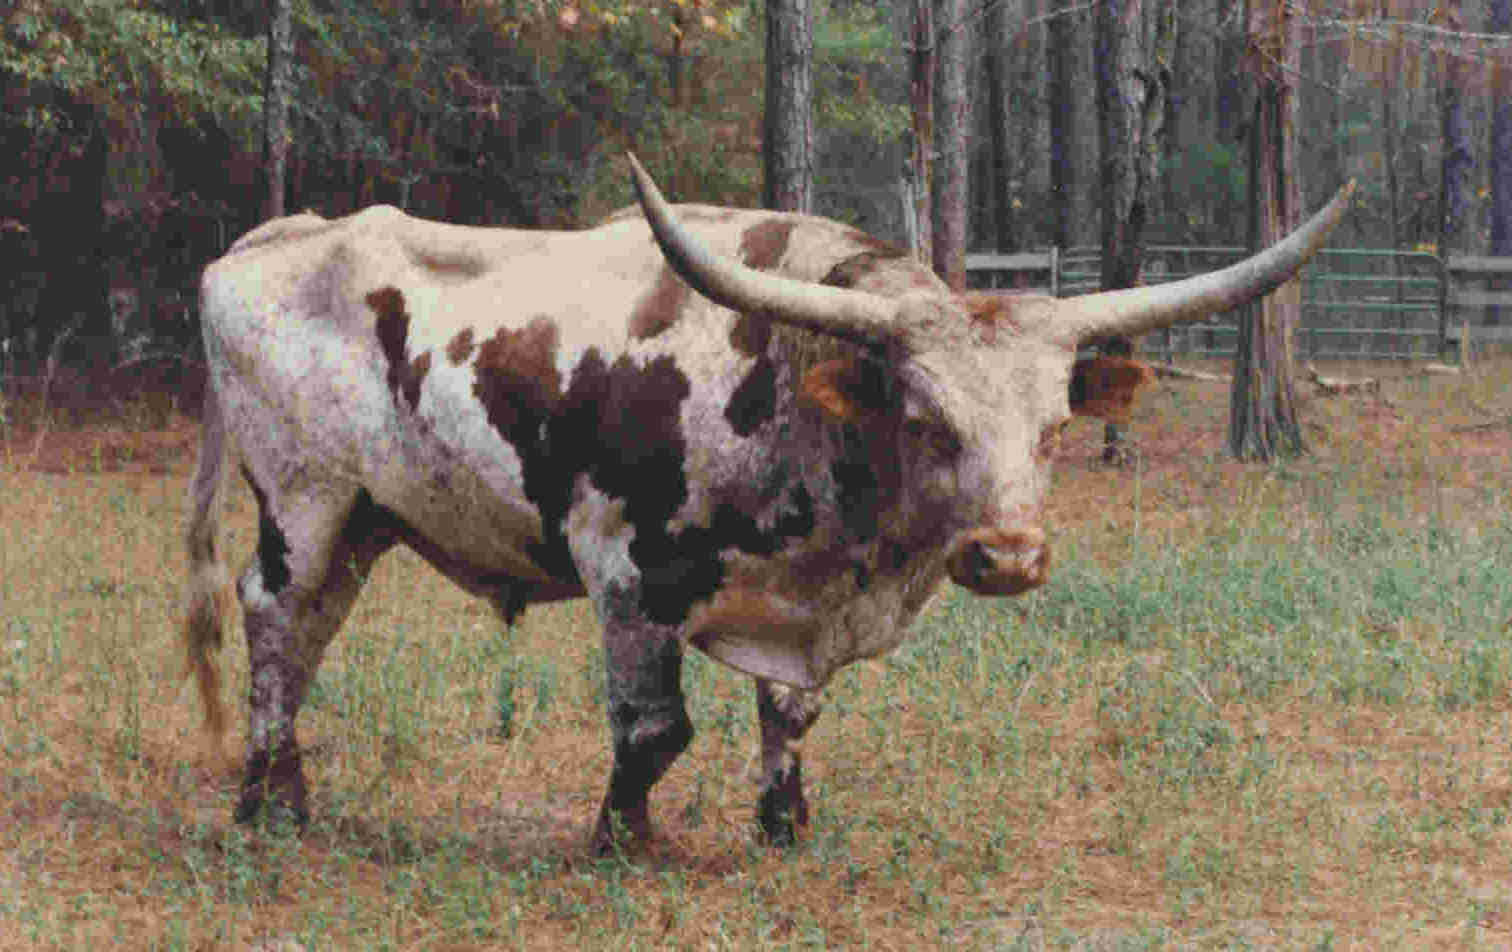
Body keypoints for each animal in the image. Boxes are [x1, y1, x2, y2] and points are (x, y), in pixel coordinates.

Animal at [183, 155, 1352, 852]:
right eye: (927, 420)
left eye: (1055, 429)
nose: (1009, 557)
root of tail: (269, 241)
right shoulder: (623, 571)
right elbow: (655, 728)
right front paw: (621, 843)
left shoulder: (801, 606)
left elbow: (789, 713)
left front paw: (783, 822)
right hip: (304, 499)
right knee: (274, 618)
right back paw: (262, 804)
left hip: (367, 519)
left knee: (312, 629)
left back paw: (287, 790)